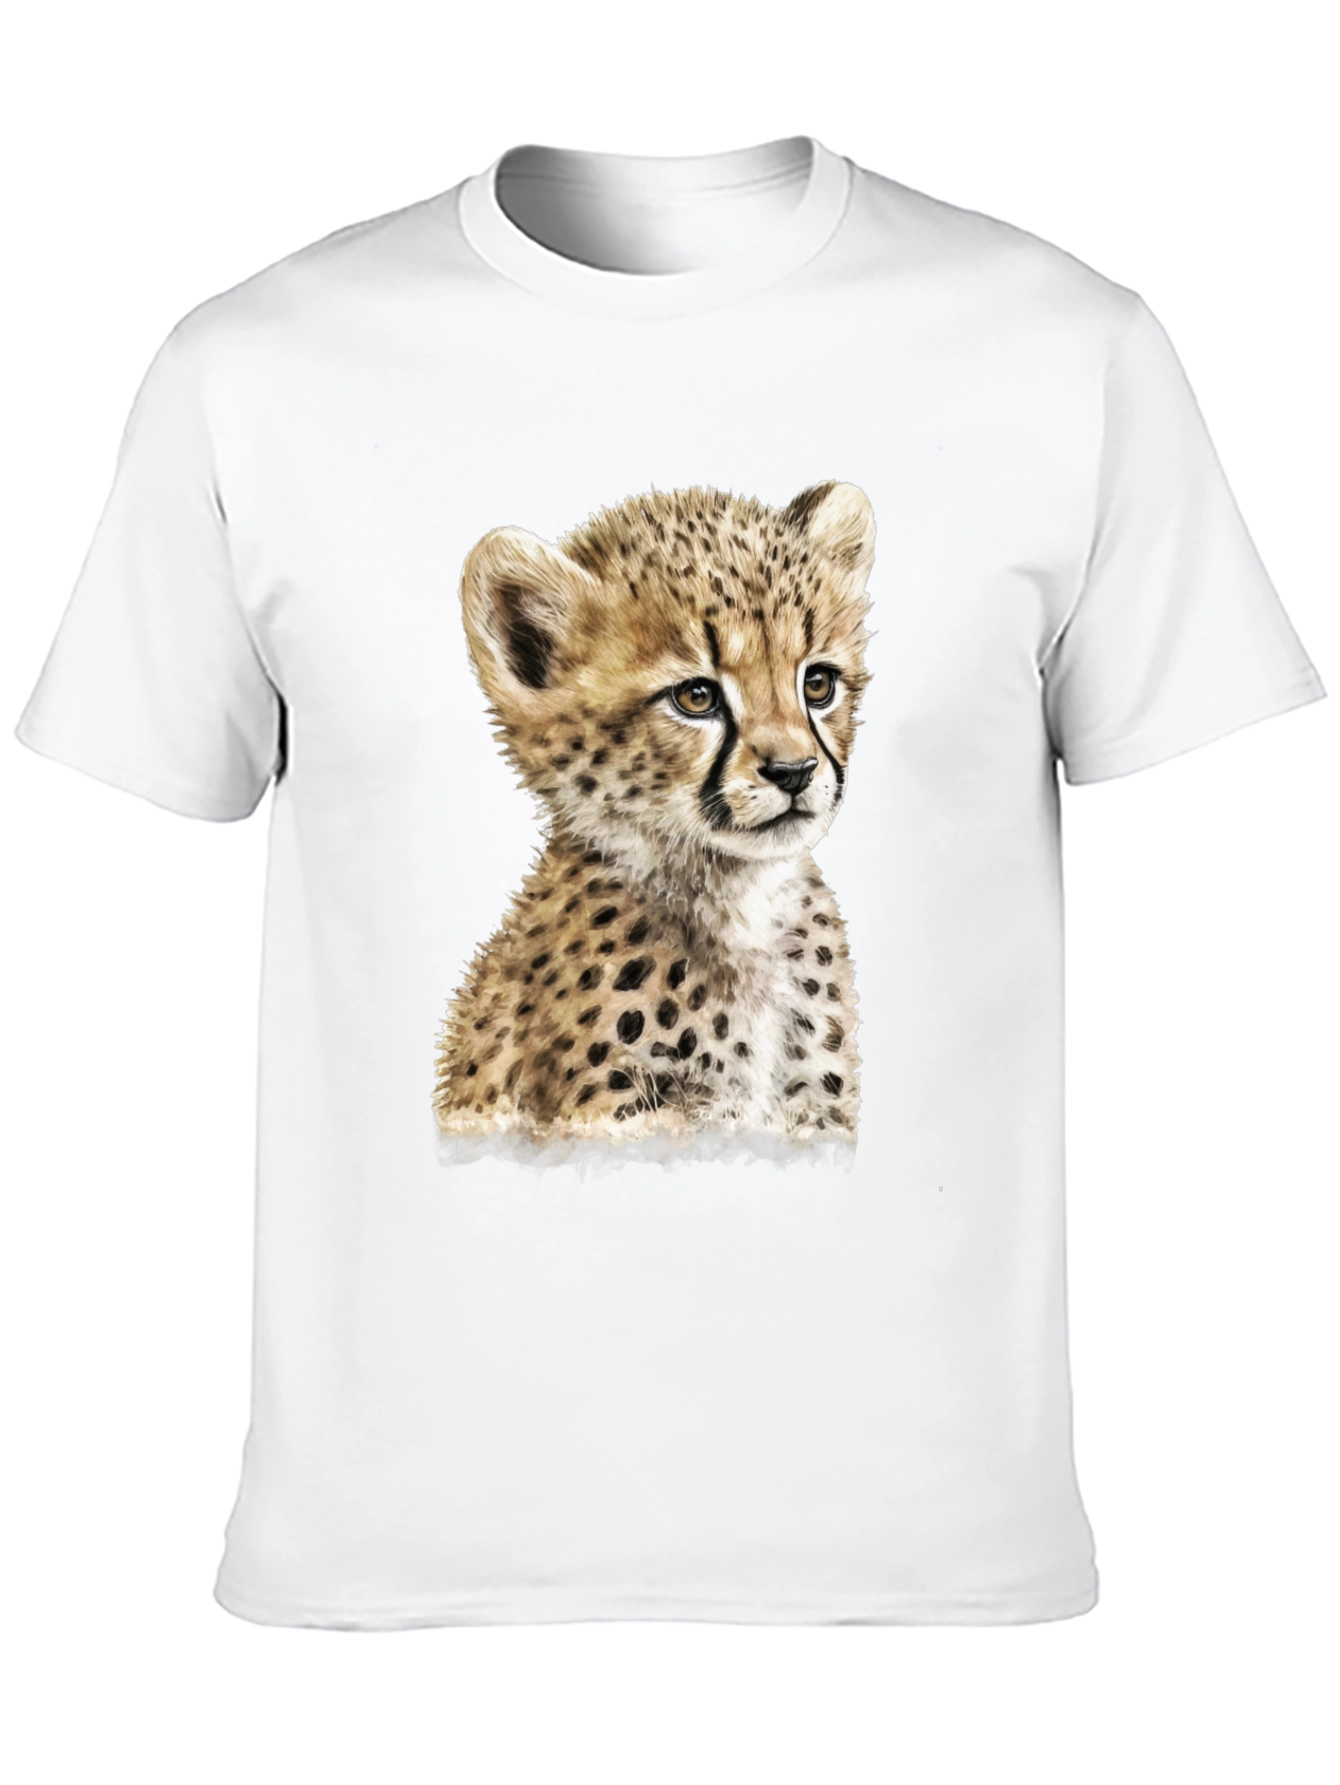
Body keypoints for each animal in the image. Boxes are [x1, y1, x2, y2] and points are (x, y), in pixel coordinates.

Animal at [432, 478, 875, 1162]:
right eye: (696, 697)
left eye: (818, 684)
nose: (795, 771)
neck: (740, 902)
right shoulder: (614, 1121)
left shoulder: (813, 1116)